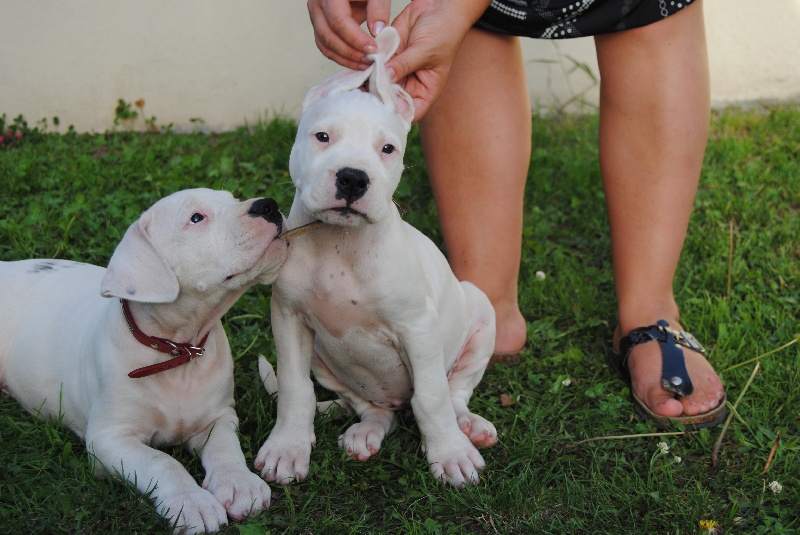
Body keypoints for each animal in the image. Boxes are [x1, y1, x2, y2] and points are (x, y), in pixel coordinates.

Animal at [0, 188, 288, 532]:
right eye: (196, 218)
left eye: (232, 198)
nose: (268, 205)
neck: (177, 352)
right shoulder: (110, 439)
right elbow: (163, 461)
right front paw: (192, 502)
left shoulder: (218, 417)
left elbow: (225, 448)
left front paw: (239, 484)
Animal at [256, 29, 496, 490]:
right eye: (322, 137)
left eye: (387, 149)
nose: (352, 178)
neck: (339, 245)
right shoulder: (289, 319)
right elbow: (295, 390)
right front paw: (287, 448)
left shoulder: (417, 328)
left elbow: (432, 396)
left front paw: (450, 454)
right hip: (328, 362)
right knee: (371, 409)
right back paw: (364, 433)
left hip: (479, 311)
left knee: (453, 392)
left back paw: (466, 427)